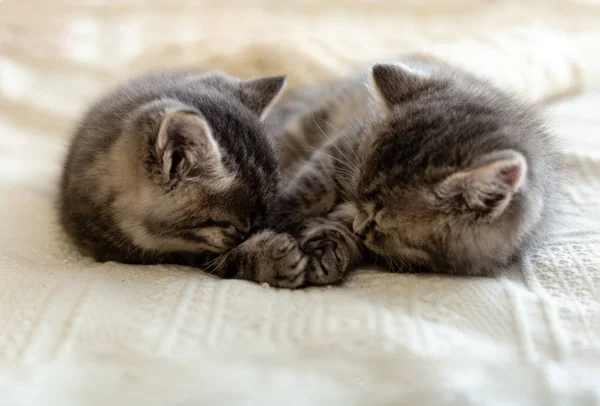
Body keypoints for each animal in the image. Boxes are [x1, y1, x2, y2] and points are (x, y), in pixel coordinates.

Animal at [268, 54, 564, 286]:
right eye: (356, 195)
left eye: (376, 220)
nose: (358, 225)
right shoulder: (341, 147)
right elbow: (312, 186)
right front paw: (280, 216)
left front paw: (328, 250)